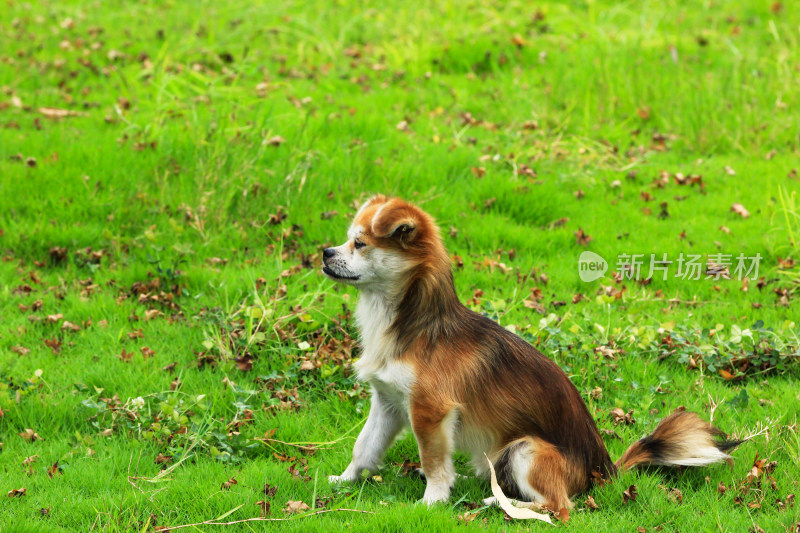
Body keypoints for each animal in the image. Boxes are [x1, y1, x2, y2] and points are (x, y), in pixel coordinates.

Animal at [322, 194, 740, 508]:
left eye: (359, 244)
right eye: (346, 240)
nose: (325, 252)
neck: (413, 323)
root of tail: (604, 472)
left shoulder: (431, 411)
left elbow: (435, 462)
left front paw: (432, 501)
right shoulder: (388, 403)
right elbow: (364, 447)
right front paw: (344, 479)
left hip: (524, 449)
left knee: (559, 506)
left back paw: (501, 504)